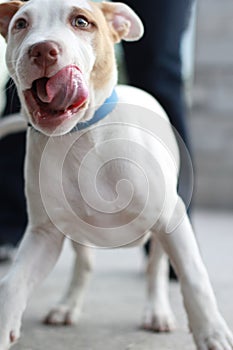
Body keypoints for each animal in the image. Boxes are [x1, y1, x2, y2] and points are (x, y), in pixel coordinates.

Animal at [0, 0, 233, 350]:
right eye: (20, 24)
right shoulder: (44, 235)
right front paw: (3, 326)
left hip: (163, 230)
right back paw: (67, 305)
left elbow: (194, 278)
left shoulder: (171, 218)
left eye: (82, 21)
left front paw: (212, 333)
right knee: (85, 264)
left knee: (154, 270)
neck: (82, 135)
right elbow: (14, 282)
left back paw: (158, 313)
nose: (42, 50)